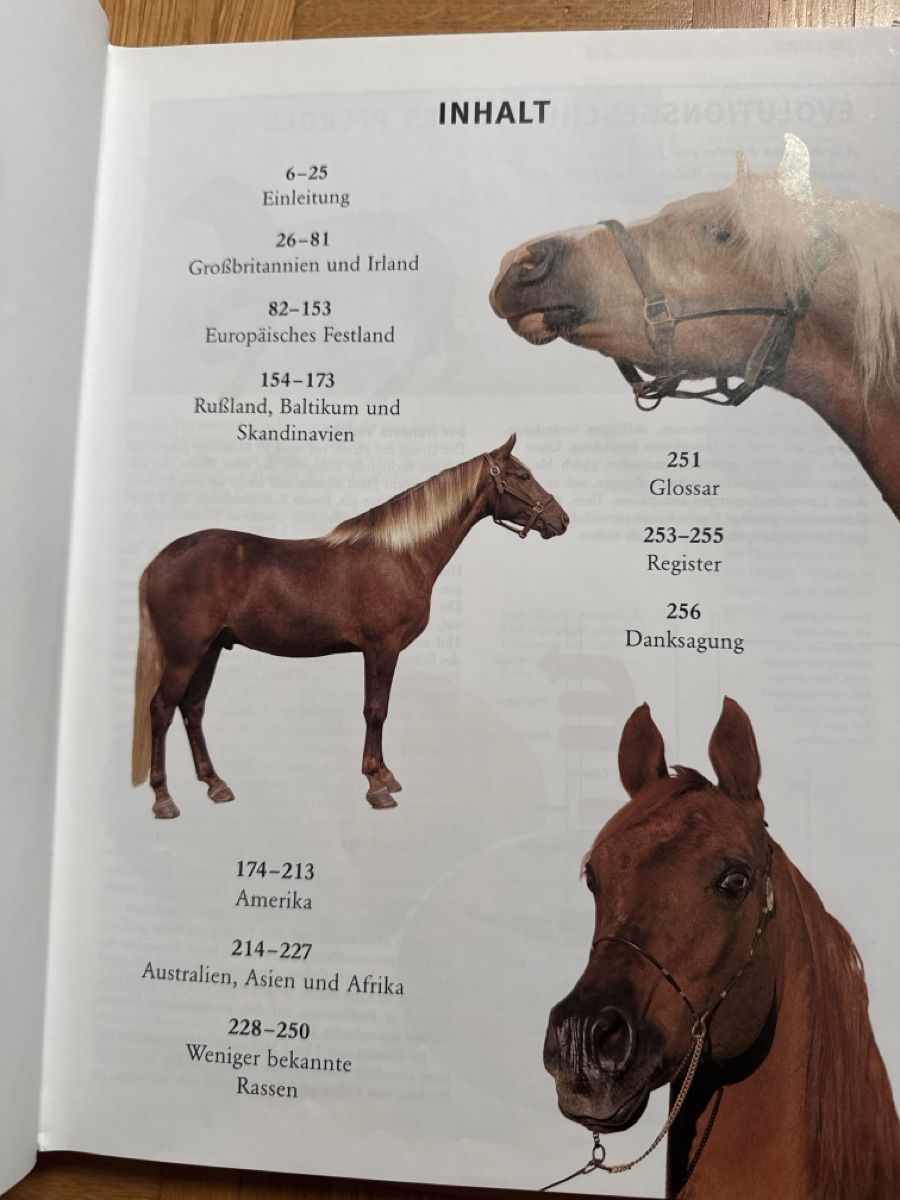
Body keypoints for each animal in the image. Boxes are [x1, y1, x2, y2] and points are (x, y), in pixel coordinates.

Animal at [131, 434, 568, 818]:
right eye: (523, 476)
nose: (561, 519)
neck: (402, 554)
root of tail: (160, 560)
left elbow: (381, 710)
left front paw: (386, 776)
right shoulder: (381, 648)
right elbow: (375, 711)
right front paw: (377, 785)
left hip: (210, 650)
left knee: (193, 709)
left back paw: (215, 784)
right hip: (185, 653)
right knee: (161, 710)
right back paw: (164, 799)